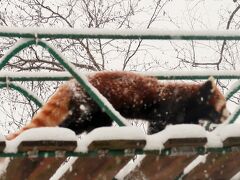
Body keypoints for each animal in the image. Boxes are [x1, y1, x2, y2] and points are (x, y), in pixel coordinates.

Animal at [6, 71, 230, 140]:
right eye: (223, 105)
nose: (228, 115)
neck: (190, 99)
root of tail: (73, 83)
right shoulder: (169, 106)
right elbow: (157, 126)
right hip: (93, 103)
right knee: (78, 121)